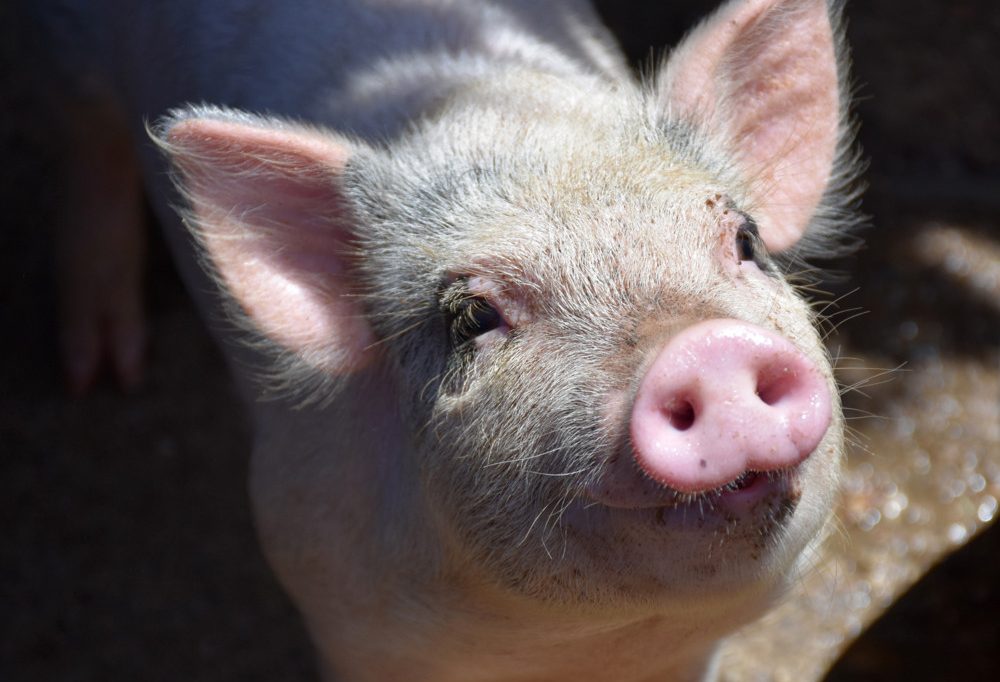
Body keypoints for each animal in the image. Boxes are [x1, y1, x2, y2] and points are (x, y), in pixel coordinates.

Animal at [37, 0, 859, 679]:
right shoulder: (325, 582)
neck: (578, 649)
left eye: (747, 241)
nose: (703, 346)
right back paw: (100, 370)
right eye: (472, 318)